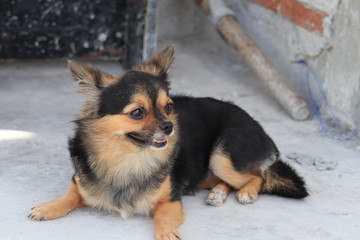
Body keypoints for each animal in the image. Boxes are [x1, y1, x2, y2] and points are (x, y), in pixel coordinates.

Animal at [29, 45, 308, 240]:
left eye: (169, 107)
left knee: (258, 176)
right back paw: (218, 193)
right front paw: (51, 207)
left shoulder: (171, 200)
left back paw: (246, 192)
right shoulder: (80, 179)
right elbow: (72, 192)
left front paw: (166, 233)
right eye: (137, 113)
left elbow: (161, 217)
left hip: (222, 157)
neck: (128, 158)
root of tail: (257, 125)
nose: (169, 126)